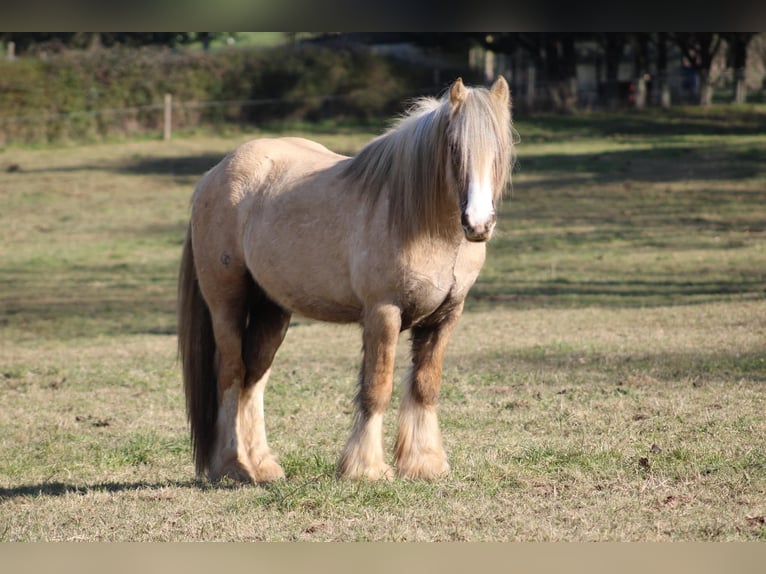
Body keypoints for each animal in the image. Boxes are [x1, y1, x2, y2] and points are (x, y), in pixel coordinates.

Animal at [178, 74, 516, 484]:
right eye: (454, 147)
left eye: (500, 148)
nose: (478, 224)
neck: (420, 222)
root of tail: (212, 176)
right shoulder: (383, 314)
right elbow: (376, 388)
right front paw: (366, 468)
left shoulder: (445, 316)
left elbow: (425, 386)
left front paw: (424, 463)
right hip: (227, 302)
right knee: (231, 372)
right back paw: (233, 466)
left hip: (272, 309)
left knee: (254, 377)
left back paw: (263, 465)